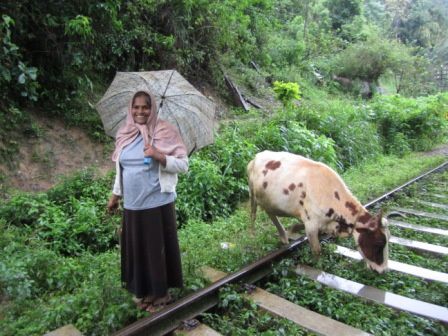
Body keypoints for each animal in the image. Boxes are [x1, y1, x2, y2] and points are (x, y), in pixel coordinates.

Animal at [247, 151, 390, 274]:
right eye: (379, 243)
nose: (383, 271)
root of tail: (257, 156)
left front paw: (293, 228)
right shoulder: (311, 224)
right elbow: (317, 251)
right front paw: (318, 267)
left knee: (270, 213)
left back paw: (283, 236)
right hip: (252, 194)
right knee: (253, 214)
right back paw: (254, 235)